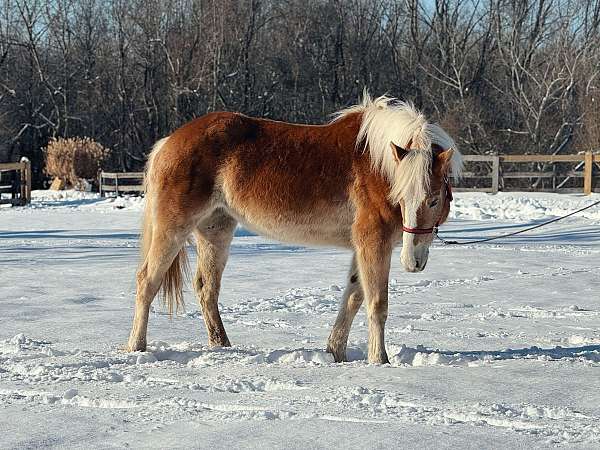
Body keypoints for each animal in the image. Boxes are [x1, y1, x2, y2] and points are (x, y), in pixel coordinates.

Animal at [126, 93, 464, 364]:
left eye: (434, 199)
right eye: (401, 197)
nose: (413, 261)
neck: (377, 164)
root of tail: (168, 142)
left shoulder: (363, 247)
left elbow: (353, 297)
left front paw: (336, 352)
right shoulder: (373, 243)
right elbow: (376, 302)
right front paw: (379, 360)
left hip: (215, 230)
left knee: (206, 288)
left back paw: (221, 346)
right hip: (173, 228)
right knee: (147, 281)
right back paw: (137, 346)